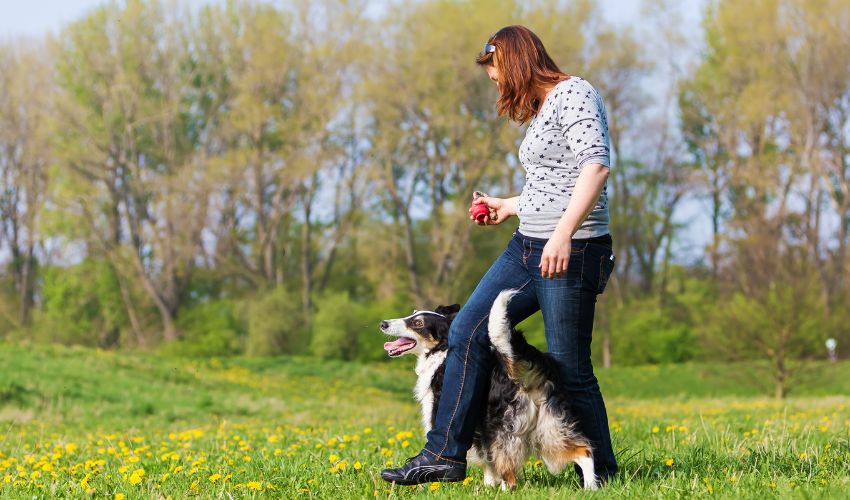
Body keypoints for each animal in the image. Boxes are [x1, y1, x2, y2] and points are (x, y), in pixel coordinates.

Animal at [380, 290, 596, 488]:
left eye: (418, 323)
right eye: (412, 314)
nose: (383, 323)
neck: (442, 350)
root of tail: (521, 371)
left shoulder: (442, 413)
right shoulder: (481, 431)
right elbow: (488, 462)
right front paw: (488, 487)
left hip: (504, 427)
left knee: (510, 474)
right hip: (548, 426)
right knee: (583, 451)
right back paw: (591, 488)